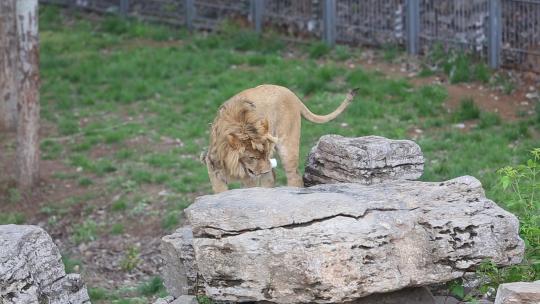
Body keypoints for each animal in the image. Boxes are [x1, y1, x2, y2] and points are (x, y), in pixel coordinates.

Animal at [200, 83, 356, 192]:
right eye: (252, 157)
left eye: (264, 154)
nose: (264, 170)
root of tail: (289, 92)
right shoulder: (214, 167)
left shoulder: (249, 177)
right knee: (272, 177)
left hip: (288, 147)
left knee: (293, 176)